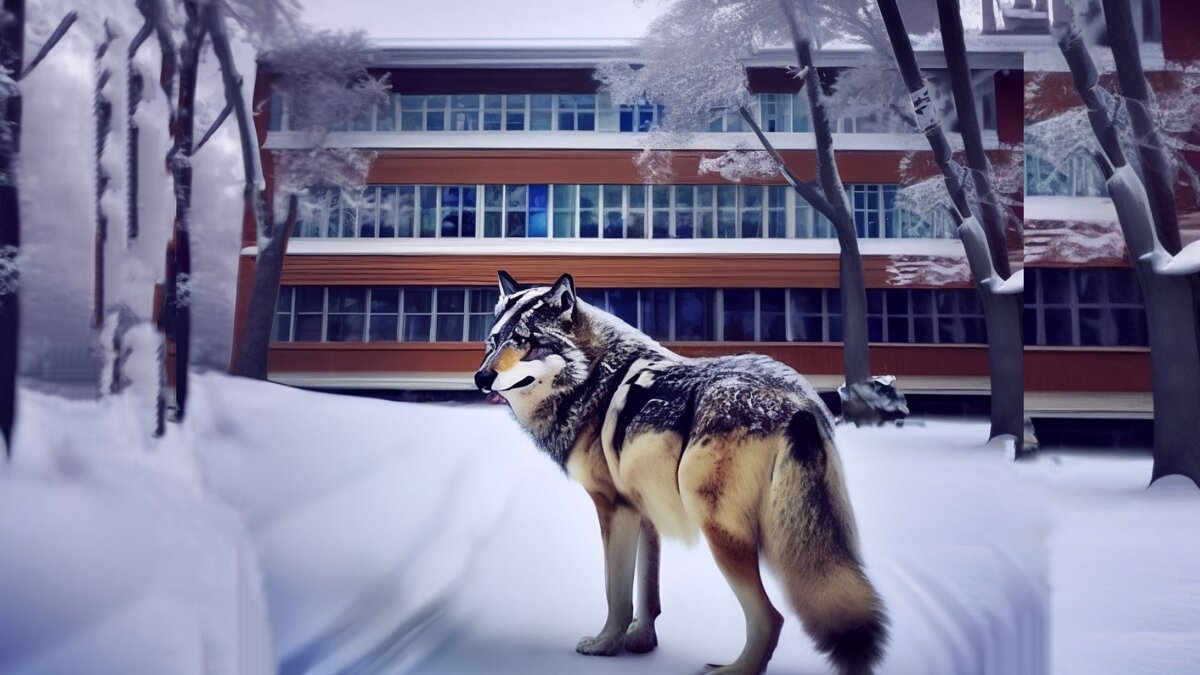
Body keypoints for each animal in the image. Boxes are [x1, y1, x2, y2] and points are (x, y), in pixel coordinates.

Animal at [472, 270, 888, 667]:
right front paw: (641, 642)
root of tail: (799, 404)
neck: (591, 381)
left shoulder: (614, 510)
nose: (481, 377)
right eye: (494, 340)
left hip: (720, 530)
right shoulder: (644, 512)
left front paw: (605, 645)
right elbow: (647, 592)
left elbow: (616, 594)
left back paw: (730, 670)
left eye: (525, 341)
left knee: (771, 618)